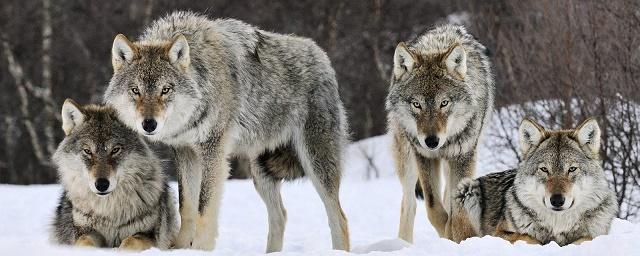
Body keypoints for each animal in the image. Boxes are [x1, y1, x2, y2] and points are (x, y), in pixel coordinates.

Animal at [50, 99, 178, 251]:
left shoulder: (148, 235)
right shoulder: (84, 231)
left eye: (115, 150)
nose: (101, 184)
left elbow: (129, 243)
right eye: (87, 151)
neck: (109, 212)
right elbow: (84, 243)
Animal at [103, 11, 350, 251]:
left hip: (315, 163)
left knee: (339, 217)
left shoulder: (213, 151)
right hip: (260, 172)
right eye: (135, 90)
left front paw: (200, 248)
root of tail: (322, 56)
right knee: (280, 215)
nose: (149, 124)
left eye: (165, 90)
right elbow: (187, 206)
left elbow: (204, 207)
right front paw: (181, 247)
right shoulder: (185, 152)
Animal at [384, 25, 496, 243]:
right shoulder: (424, 156)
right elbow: (433, 208)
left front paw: (457, 237)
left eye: (444, 103)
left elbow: (456, 210)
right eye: (416, 104)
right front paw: (447, 234)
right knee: (409, 204)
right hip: (407, 160)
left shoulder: (464, 156)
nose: (431, 141)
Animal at [458, 117, 616, 245]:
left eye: (572, 169)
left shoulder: (597, 234)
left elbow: (587, 238)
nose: (557, 200)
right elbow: (527, 237)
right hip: (468, 190)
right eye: (544, 169)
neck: (557, 225)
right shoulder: (499, 233)